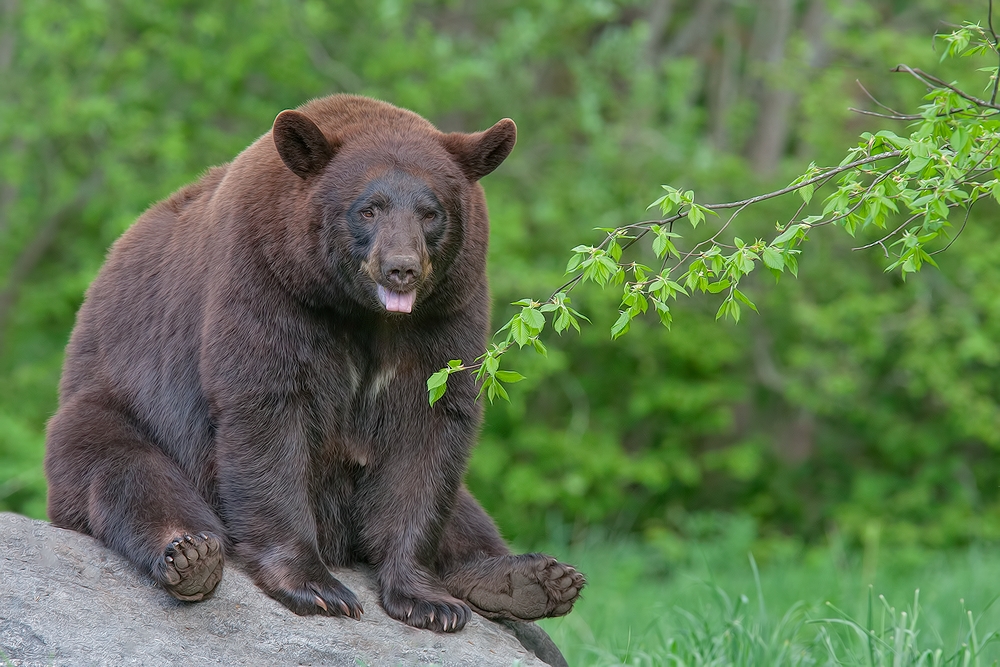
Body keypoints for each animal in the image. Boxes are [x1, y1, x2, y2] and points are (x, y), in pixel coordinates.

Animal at [43, 92, 584, 632]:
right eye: (368, 209)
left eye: (431, 212)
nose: (401, 268)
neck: (361, 312)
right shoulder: (267, 281)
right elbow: (267, 414)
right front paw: (317, 587)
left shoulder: (446, 313)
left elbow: (430, 429)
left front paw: (427, 599)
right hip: (117, 404)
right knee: (128, 471)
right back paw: (190, 554)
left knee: (468, 513)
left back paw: (532, 580)